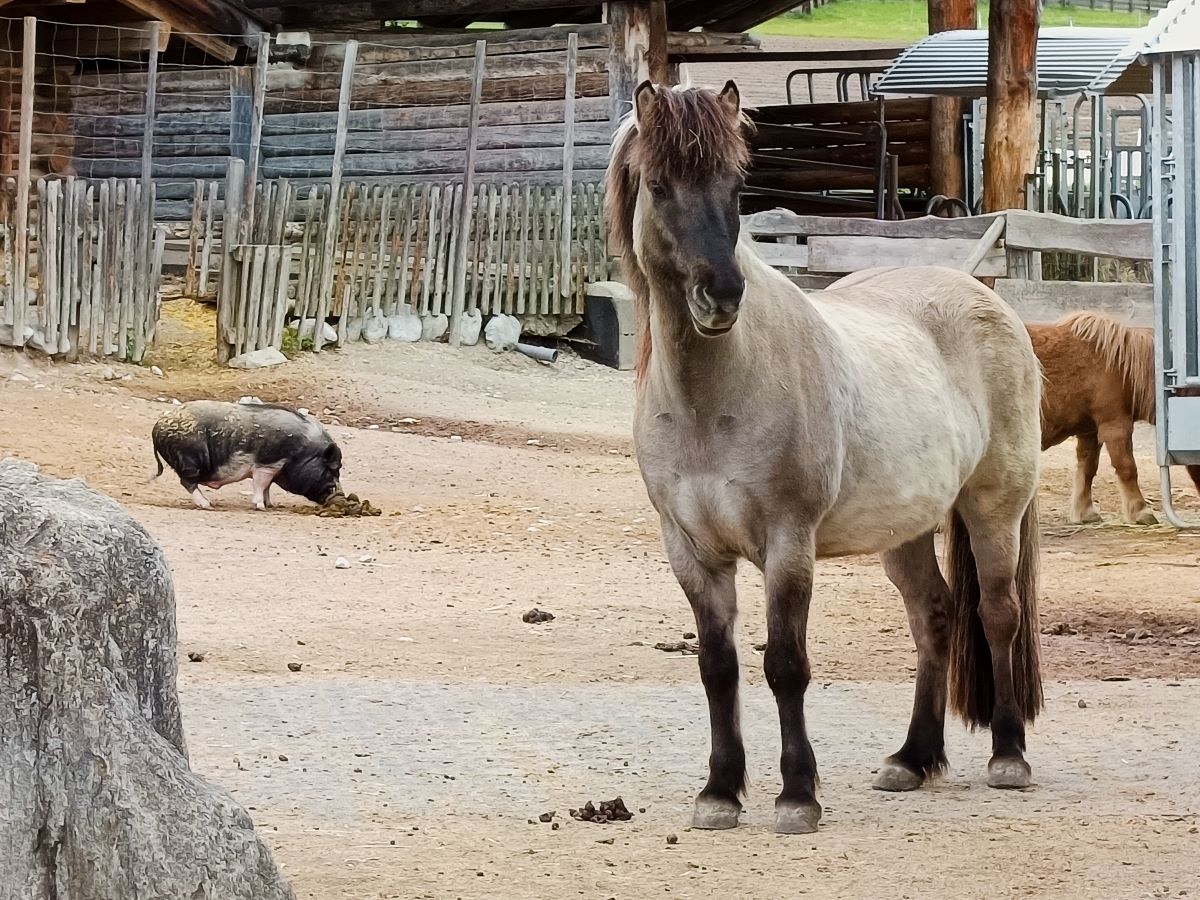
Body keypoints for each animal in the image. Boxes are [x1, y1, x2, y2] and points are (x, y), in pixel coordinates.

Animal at [153, 400, 343, 513]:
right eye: (333, 469)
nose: (340, 495)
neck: (301, 452)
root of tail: (157, 426)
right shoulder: (265, 465)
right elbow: (260, 485)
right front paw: (261, 507)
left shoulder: (272, 469)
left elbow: (267, 487)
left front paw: (271, 505)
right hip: (188, 461)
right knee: (187, 482)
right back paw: (208, 505)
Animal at [604, 81, 1046, 835]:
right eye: (659, 186)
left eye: (736, 184)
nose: (722, 296)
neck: (713, 397)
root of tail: (990, 302)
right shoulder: (691, 550)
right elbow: (718, 667)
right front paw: (720, 793)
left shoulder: (788, 542)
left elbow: (786, 665)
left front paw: (796, 797)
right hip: (905, 529)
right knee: (934, 617)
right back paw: (911, 759)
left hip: (994, 508)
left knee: (996, 614)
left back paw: (1008, 756)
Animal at [1027, 309, 1200, 525]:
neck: (1121, 365)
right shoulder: (1115, 426)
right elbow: (1127, 468)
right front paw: (1141, 512)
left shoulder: (1091, 432)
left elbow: (1088, 469)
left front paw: (1085, 512)